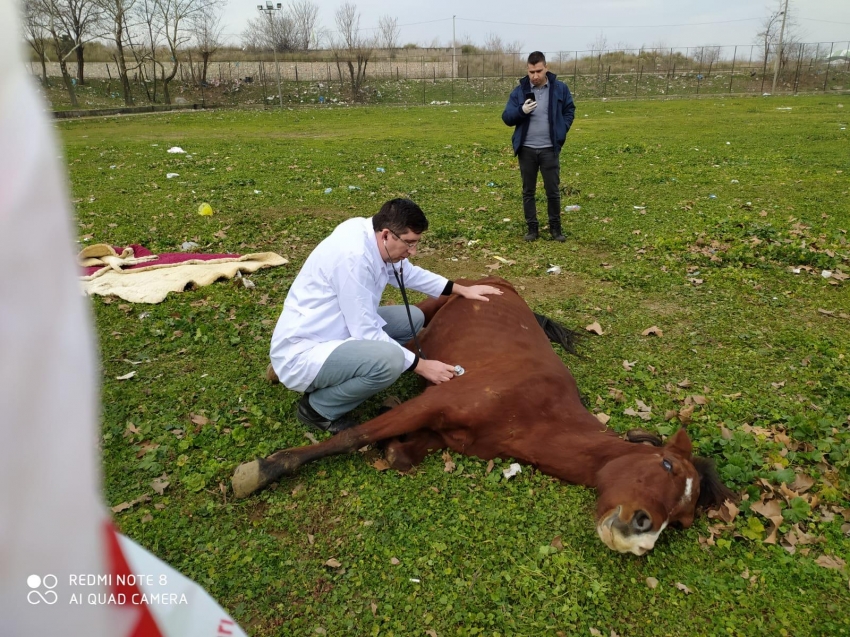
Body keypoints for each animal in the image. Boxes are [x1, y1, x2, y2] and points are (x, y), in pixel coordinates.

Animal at [230, 276, 728, 556]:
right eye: (666, 464)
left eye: (680, 523)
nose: (640, 536)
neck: (534, 411)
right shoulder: (433, 402)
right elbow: (350, 438)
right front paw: (263, 470)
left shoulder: (445, 434)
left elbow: (399, 456)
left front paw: (391, 443)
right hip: (427, 307)